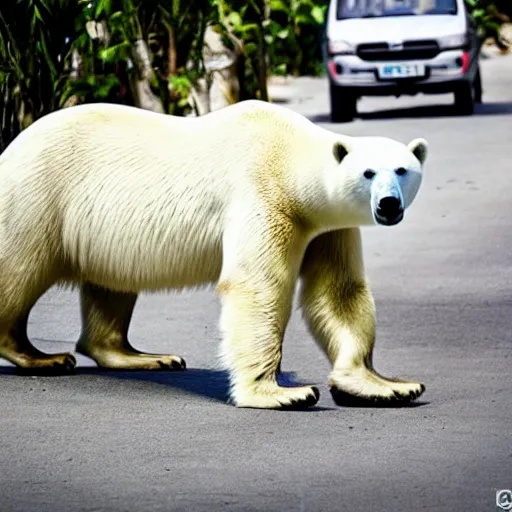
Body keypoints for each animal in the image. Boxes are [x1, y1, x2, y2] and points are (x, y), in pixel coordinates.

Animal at [0, 100, 426, 410]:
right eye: (368, 173)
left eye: (402, 170)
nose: (388, 204)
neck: (288, 155)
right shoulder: (264, 196)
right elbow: (257, 286)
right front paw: (281, 393)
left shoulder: (326, 227)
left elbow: (338, 292)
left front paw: (386, 386)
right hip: (38, 196)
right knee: (18, 270)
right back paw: (42, 357)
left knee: (112, 286)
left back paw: (147, 356)